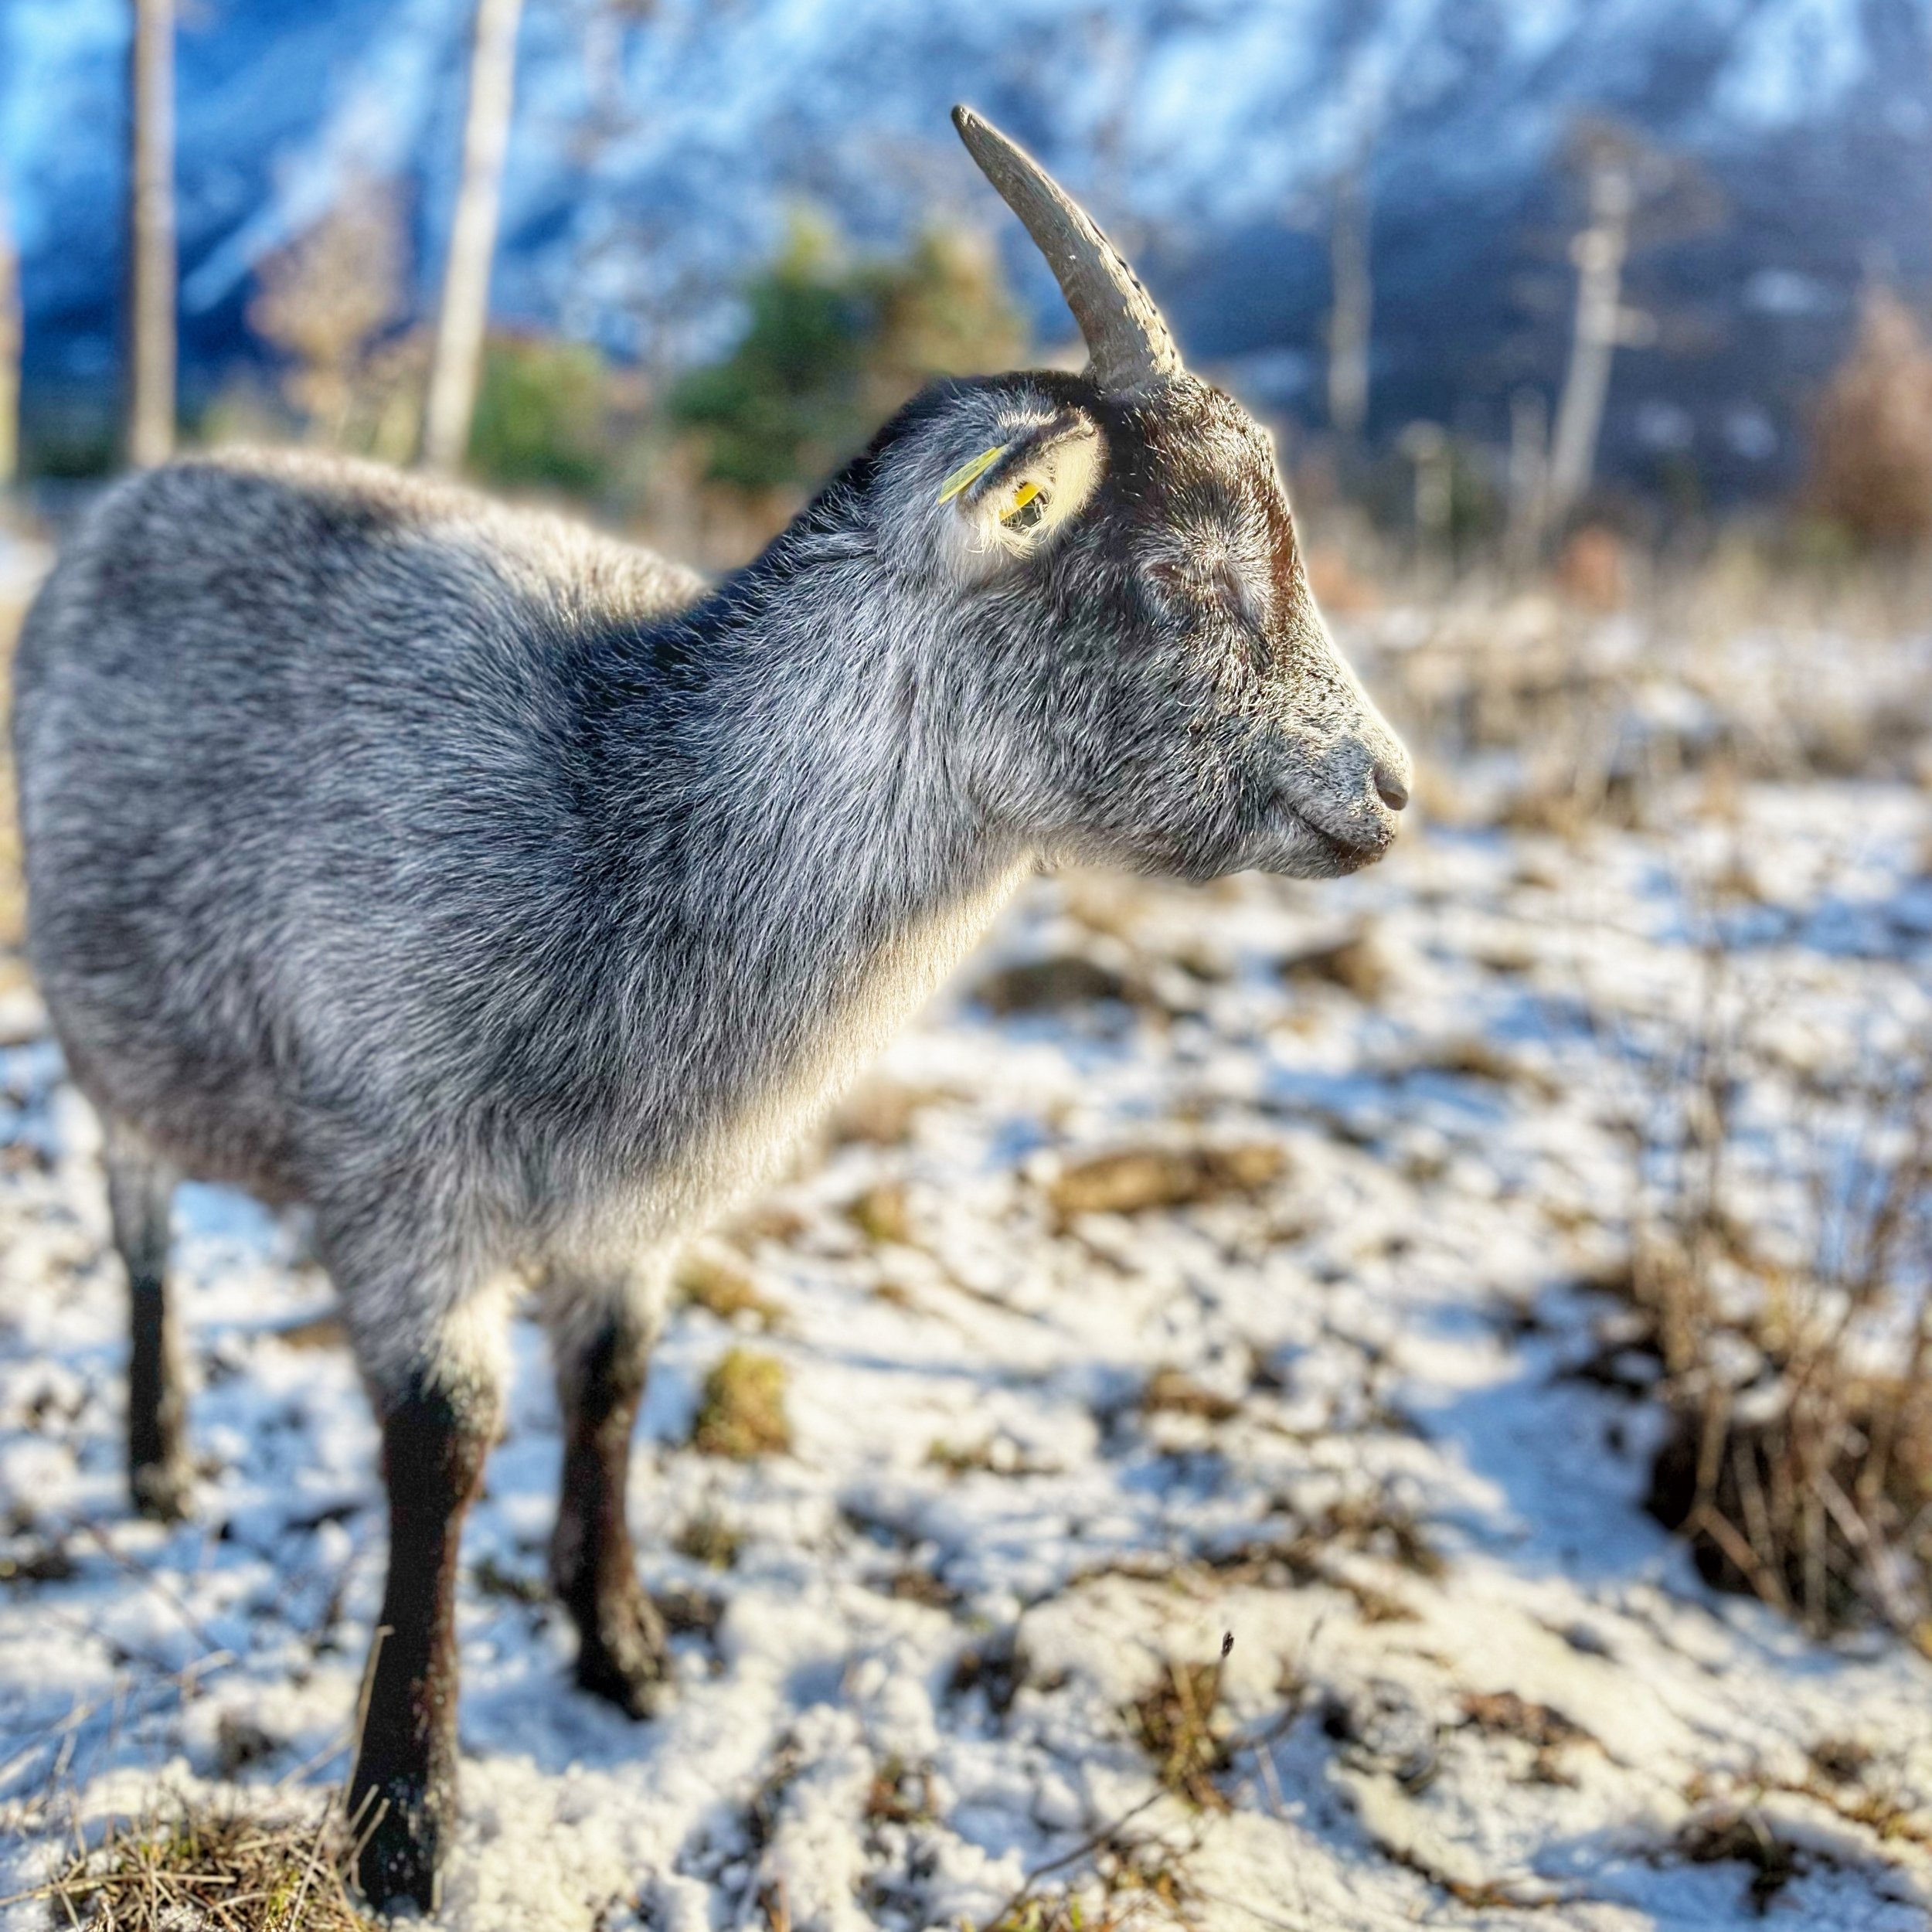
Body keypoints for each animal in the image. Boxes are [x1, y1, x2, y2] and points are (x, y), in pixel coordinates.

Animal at [10, 106, 1410, 1911]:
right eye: (1174, 569)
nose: (1385, 790)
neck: (623, 810)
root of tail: (125, 504)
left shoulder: (634, 1206)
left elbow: (611, 1386)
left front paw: (621, 1646)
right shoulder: (404, 1181)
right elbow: (443, 1449)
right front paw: (405, 1815)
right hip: (107, 1036)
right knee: (138, 1221)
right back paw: (159, 1450)